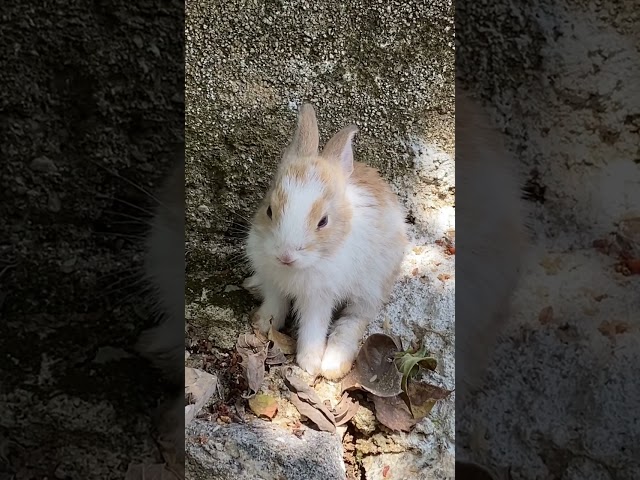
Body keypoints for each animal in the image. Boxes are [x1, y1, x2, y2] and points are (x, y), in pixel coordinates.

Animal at [245, 104, 408, 380]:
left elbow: (313, 328)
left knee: (354, 319)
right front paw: (262, 324)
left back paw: (333, 364)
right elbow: (274, 305)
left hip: (371, 287)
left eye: (323, 222)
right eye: (269, 210)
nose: (285, 255)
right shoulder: (274, 283)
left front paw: (309, 364)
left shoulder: (319, 297)